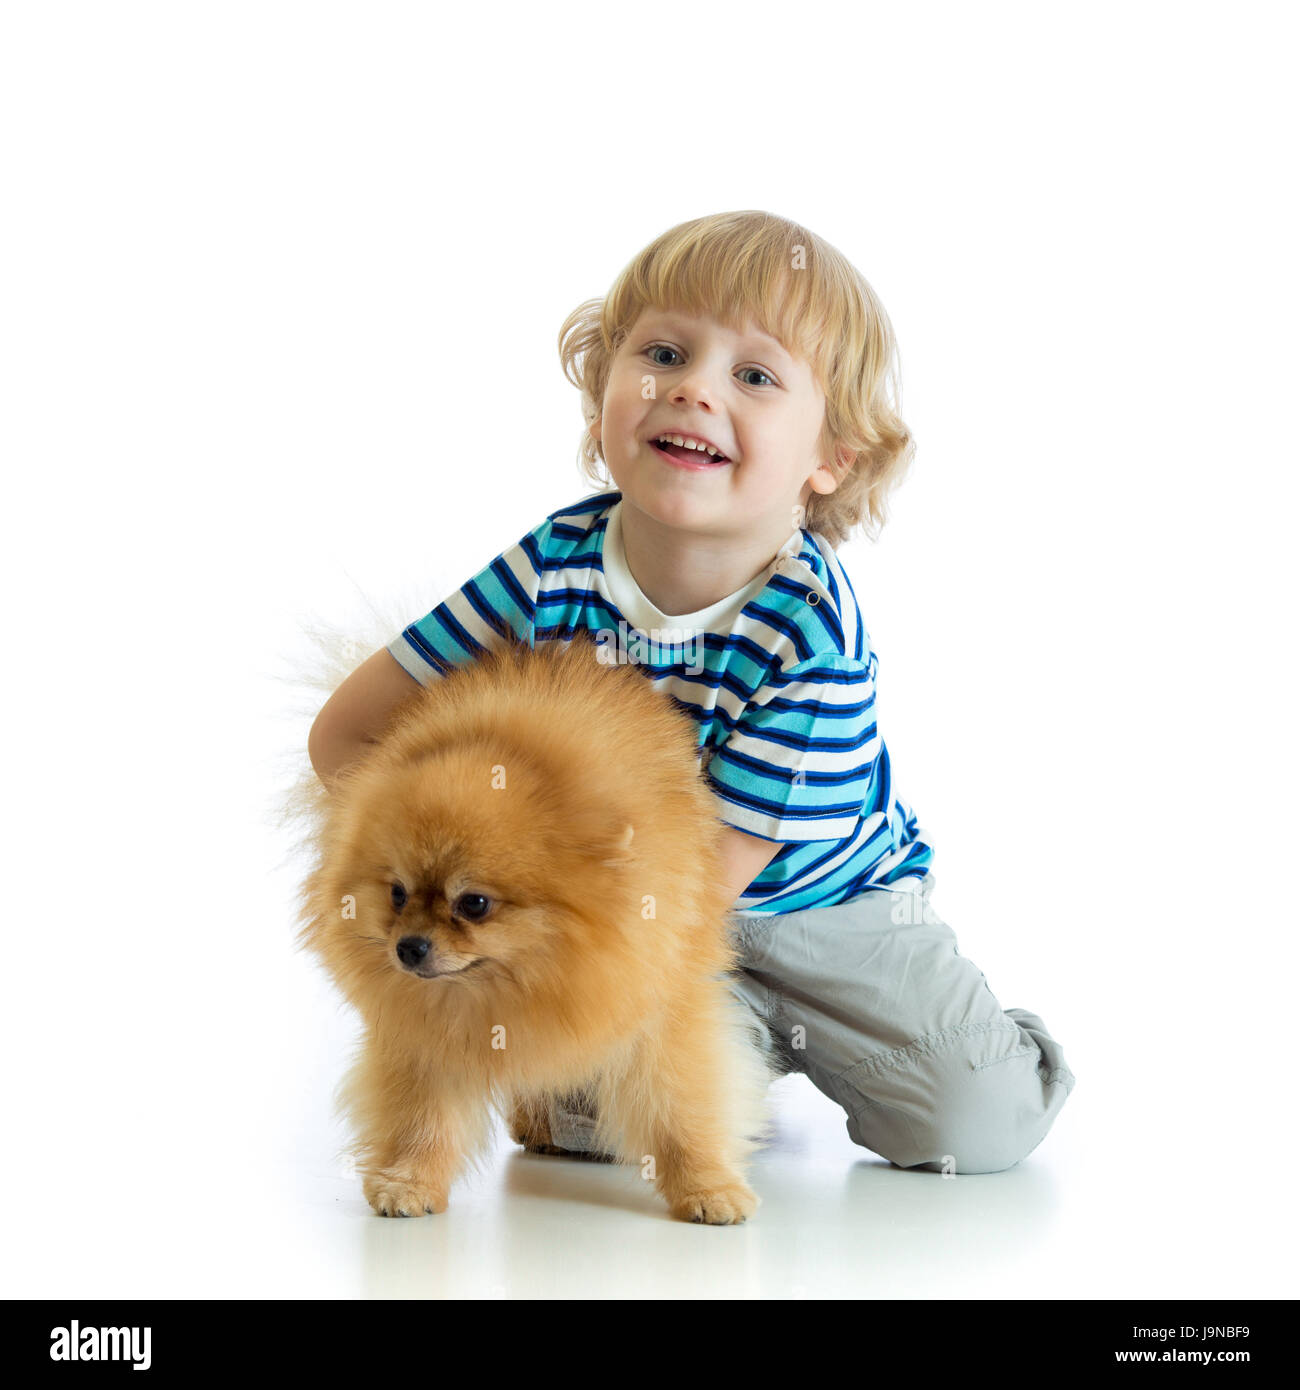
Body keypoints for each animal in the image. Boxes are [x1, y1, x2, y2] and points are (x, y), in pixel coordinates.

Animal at [297, 625, 773, 1223]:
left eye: (474, 904)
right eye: (397, 894)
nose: (408, 947)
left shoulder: (662, 1004)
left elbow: (680, 1109)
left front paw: (708, 1187)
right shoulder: (425, 1027)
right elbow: (421, 1112)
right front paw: (408, 1181)